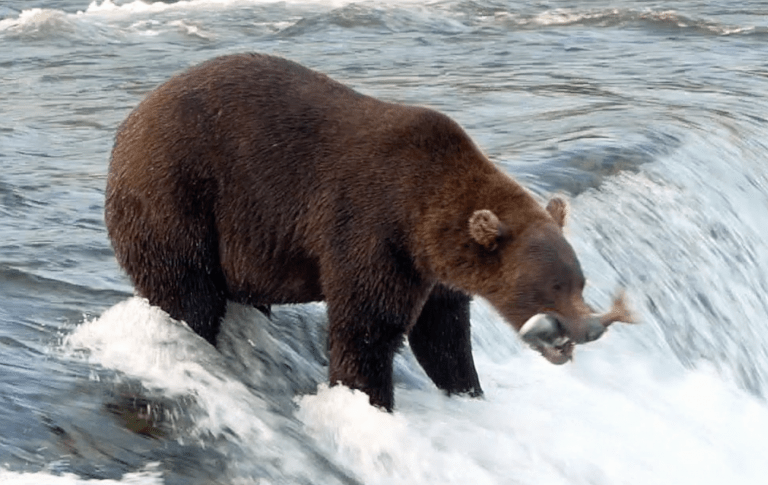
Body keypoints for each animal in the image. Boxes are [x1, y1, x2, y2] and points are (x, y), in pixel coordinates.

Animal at [105, 53, 631, 410]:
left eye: (580, 280)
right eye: (553, 286)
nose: (589, 327)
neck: (424, 219)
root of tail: (129, 122)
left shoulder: (434, 274)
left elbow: (443, 336)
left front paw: (467, 388)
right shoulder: (372, 231)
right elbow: (368, 326)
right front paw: (368, 399)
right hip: (179, 196)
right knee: (187, 290)